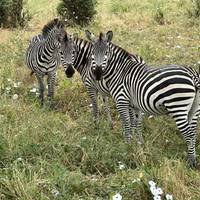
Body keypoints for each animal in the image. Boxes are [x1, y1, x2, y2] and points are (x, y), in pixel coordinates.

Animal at [85, 30, 200, 167]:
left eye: (106, 53)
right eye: (93, 53)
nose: (97, 73)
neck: (119, 71)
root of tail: (192, 74)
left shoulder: (121, 100)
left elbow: (127, 123)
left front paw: (127, 145)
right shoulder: (133, 104)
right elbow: (135, 123)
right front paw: (137, 144)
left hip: (178, 107)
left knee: (189, 133)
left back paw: (191, 162)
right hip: (194, 109)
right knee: (193, 131)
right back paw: (191, 156)